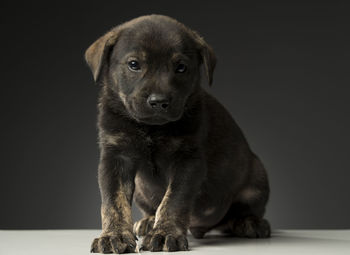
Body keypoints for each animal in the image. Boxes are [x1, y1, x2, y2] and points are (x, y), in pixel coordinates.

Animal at [85, 14, 270, 254]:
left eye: (181, 67)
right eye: (134, 64)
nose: (158, 101)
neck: (151, 128)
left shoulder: (187, 160)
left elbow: (174, 199)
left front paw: (165, 233)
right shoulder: (116, 158)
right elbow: (114, 202)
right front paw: (114, 235)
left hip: (257, 178)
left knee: (245, 210)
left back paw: (250, 223)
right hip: (143, 191)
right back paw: (148, 221)